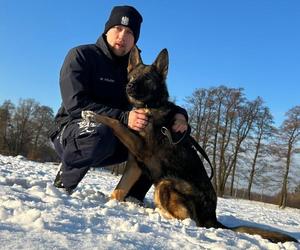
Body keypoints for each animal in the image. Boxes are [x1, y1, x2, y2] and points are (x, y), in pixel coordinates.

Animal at [82, 46, 298, 242]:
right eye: (132, 76)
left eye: (148, 79)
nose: (130, 87)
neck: (151, 107)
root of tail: (213, 218)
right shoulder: (135, 165)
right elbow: (119, 189)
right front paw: (110, 204)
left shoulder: (140, 148)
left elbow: (116, 122)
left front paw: (93, 115)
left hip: (165, 183)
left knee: (189, 220)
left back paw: (157, 213)